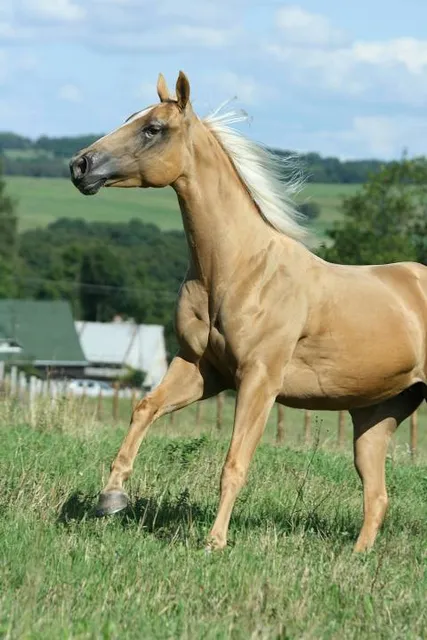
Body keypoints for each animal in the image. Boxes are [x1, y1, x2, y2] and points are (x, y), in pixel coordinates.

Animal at [70, 71, 427, 552]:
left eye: (153, 129)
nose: (80, 166)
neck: (240, 268)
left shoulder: (259, 379)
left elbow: (234, 462)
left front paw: (214, 542)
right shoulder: (201, 369)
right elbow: (145, 408)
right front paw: (111, 498)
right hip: (375, 418)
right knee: (377, 496)